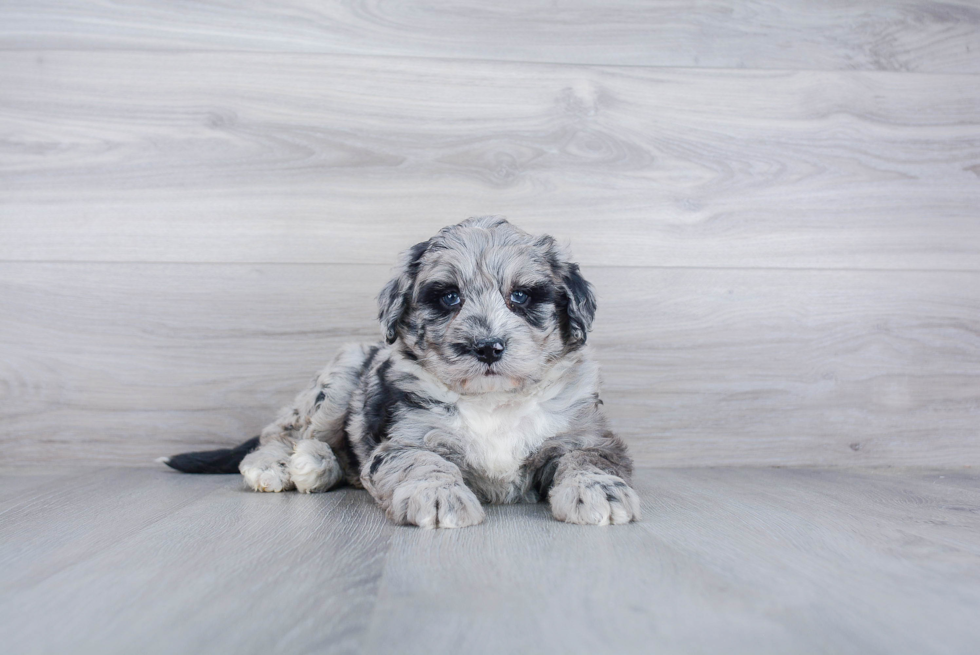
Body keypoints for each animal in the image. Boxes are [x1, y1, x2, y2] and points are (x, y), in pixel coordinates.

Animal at [165, 218, 640, 532]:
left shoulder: (584, 436)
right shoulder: (408, 438)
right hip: (340, 376)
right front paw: (439, 497)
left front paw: (601, 491)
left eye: (521, 296)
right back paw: (286, 465)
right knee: (281, 432)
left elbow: (586, 460)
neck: (491, 401)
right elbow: (423, 463)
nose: (487, 347)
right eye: (449, 297)